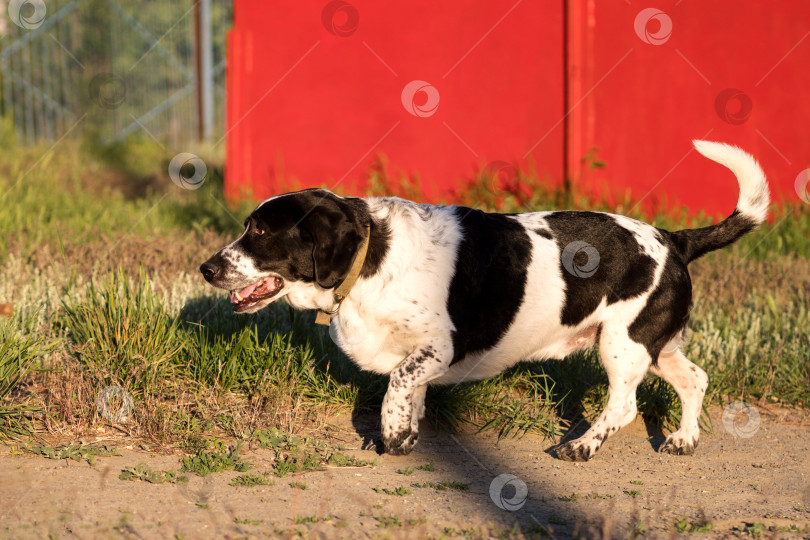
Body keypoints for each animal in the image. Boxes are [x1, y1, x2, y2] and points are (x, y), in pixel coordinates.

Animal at [200, 141, 764, 462]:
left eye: (260, 231)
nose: (207, 268)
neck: (373, 254)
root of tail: (673, 239)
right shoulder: (421, 358)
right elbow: (410, 391)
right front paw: (408, 433)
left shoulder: (437, 348)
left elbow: (396, 385)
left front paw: (392, 435)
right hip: (655, 344)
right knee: (695, 379)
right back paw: (684, 439)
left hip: (622, 344)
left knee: (623, 405)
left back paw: (581, 445)